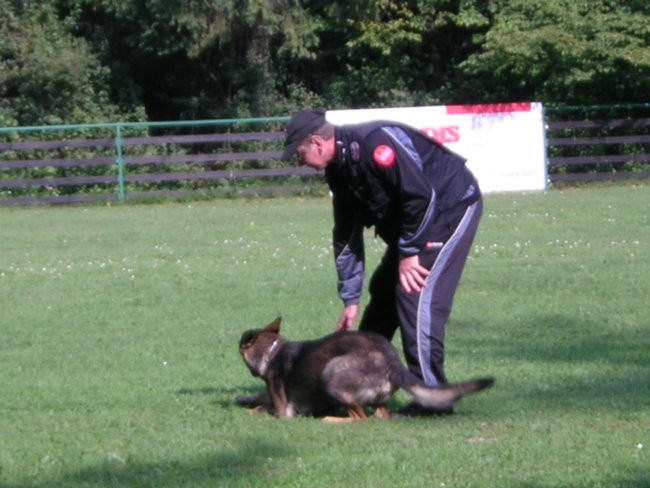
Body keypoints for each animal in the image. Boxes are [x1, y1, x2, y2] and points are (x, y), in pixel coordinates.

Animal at [238, 318, 492, 422]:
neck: (273, 351)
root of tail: (391, 362)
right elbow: (259, 399)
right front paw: (245, 400)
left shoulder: (283, 411)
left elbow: (264, 407)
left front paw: (250, 409)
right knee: (379, 417)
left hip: (330, 374)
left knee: (361, 419)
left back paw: (332, 420)